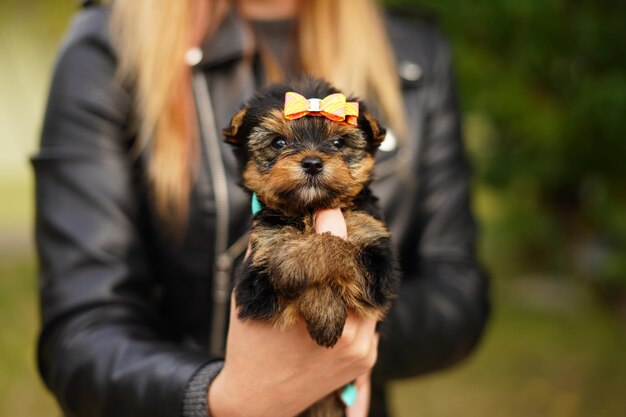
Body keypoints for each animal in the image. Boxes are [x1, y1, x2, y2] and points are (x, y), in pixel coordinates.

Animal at [223, 76, 394, 414]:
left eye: (338, 144)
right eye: (278, 143)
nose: (313, 163)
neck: (309, 210)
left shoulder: (376, 263)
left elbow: (339, 247)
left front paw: (295, 264)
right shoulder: (256, 276)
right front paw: (324, 310)